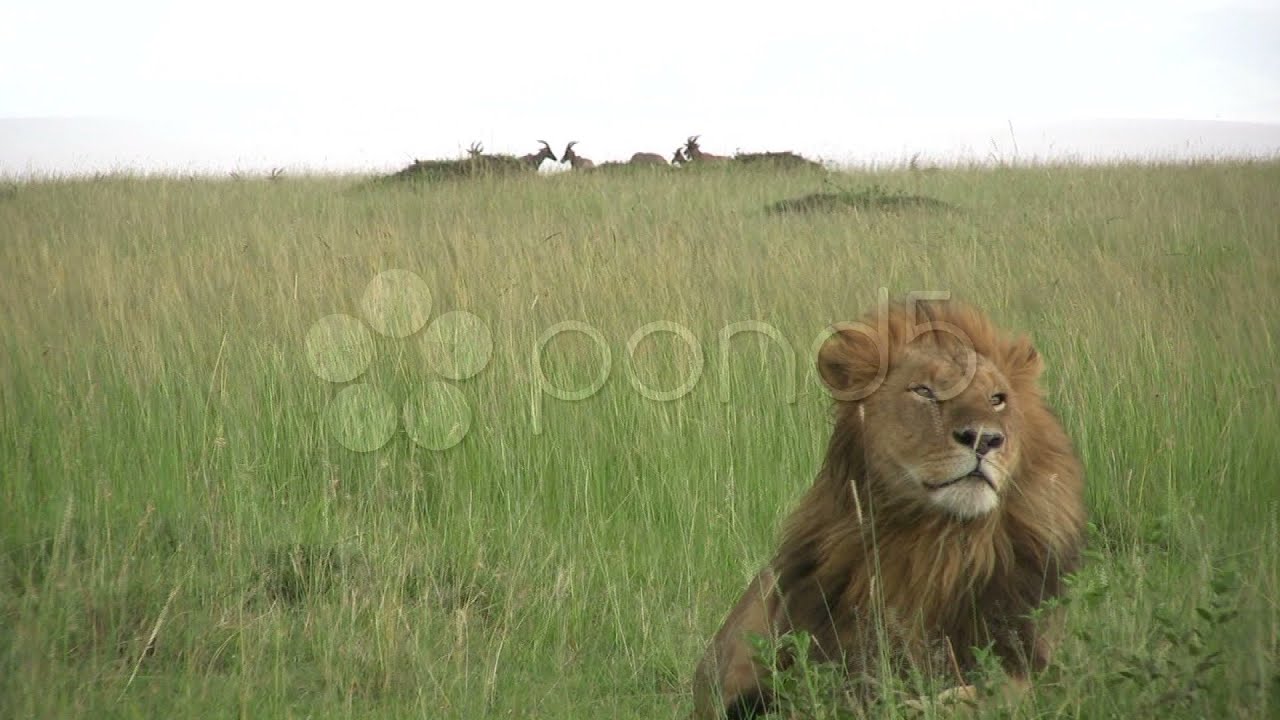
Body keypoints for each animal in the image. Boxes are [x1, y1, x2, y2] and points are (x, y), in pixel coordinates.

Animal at [692, 297, 1087, 719]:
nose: (984, 438)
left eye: (997, 399)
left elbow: (1003, 689)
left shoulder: (1033, 656)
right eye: (924, 391)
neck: (937, 548)